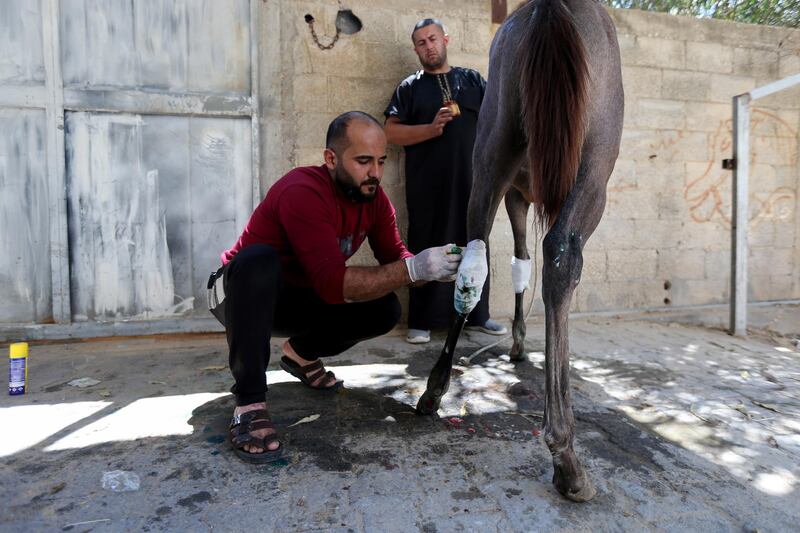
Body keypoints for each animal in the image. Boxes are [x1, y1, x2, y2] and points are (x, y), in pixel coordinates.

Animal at [416, 0, 628, 500]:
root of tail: (550, 9)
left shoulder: (515, 194)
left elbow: (516, 261)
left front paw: (515, 343)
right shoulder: (527, 194)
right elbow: (531, 263)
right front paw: (520, 344)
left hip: (493, 147)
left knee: (472, 256)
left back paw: (433, 391)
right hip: (594, 166)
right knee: (561, 256)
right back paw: (567, 457)